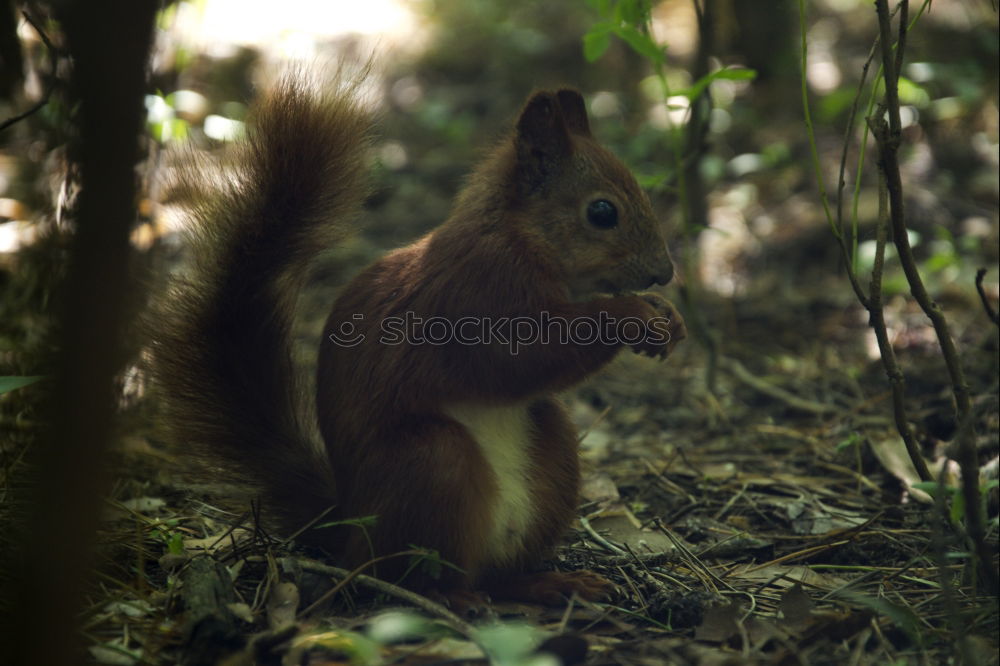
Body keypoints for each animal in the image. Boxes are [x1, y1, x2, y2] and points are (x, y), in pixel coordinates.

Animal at [154, 74, 688, 608]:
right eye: (602, 212)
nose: (664, 273)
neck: (520, 236)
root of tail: (352, 531)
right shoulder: (475, 294)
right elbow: (522, 358)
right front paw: (633, 316)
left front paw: (669, 318)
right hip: (434, 464)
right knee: (415, 574)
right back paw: (454, 597)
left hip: (552, 451)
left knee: (500, 575)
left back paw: (552, 582)